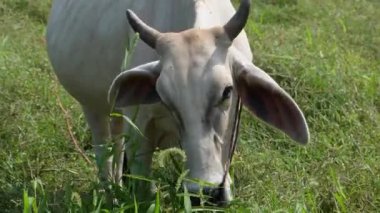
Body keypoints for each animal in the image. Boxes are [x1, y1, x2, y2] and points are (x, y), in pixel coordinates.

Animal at [47, 0, 308, 205]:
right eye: (164, 97)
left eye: (227, 91)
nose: (204, 192)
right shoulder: (139, 122)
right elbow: (141, 182)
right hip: (92, 107)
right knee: (104, 150)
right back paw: (109, 192)